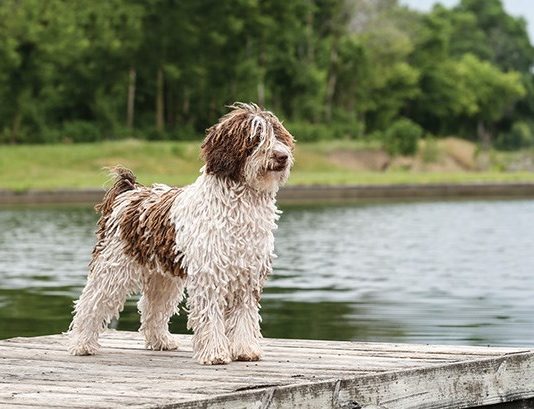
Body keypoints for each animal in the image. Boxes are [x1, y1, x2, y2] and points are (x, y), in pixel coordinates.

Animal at [67, 102, 298, 364]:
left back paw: (161, 341)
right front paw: (215, 353)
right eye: (256, 137)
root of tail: (128, 193)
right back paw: (81, 344)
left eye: (279, 135)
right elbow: (211, 315)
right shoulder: (210, 274)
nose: (282, 156)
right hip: (113, 268)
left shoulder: (248, 275)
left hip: (162, 278)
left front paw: (245, 349)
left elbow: (244, 316)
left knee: (153, 309)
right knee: (90, 304)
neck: (240, 205)